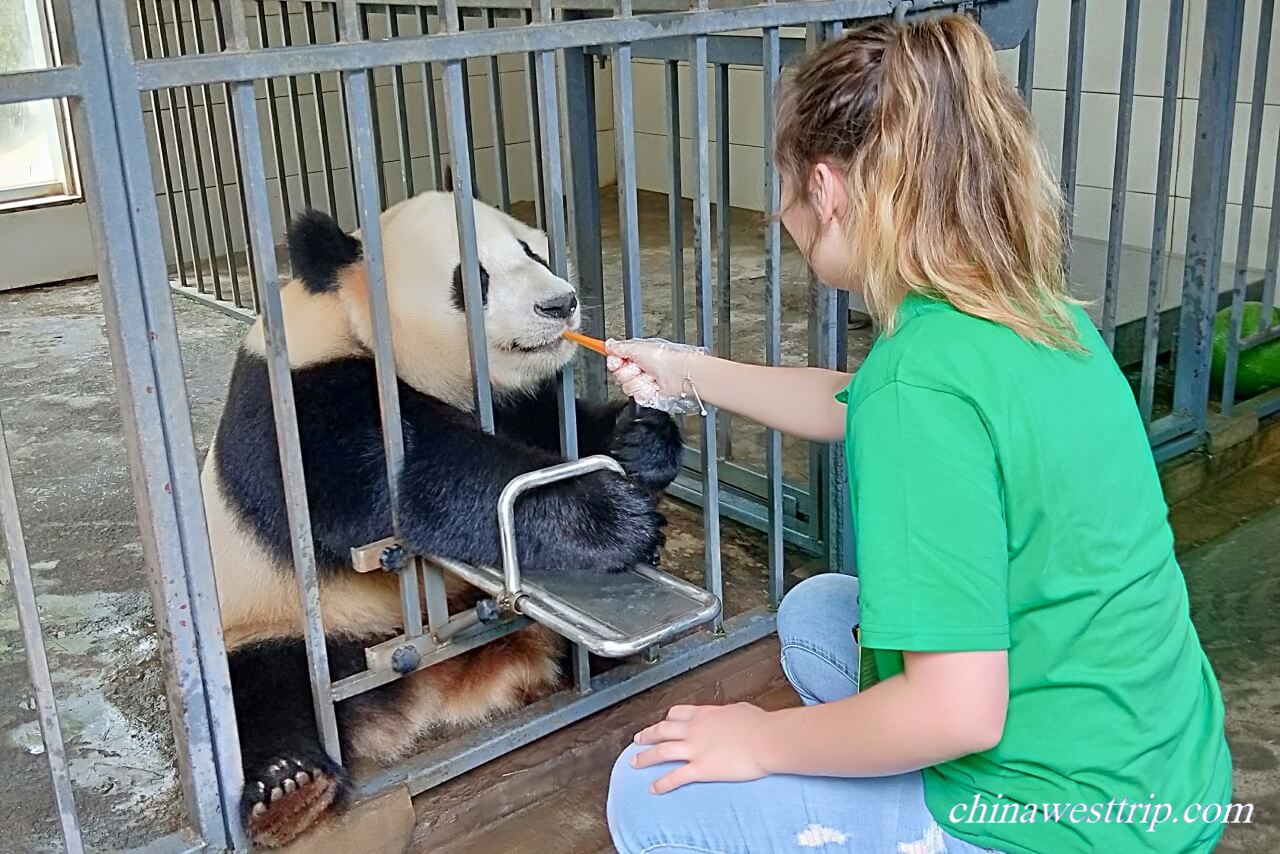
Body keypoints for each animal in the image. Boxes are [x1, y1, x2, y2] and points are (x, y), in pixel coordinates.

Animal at [202, 190, 680, 850]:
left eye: (532, 251)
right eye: (472, 278)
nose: (560, 303)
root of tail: (445, 690)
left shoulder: (513, 398)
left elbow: (553, 427)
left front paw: (642, 438)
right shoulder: (300, 406)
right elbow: (412, 483)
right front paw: (606, 514)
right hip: (276, 618)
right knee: (265, 688)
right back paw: (290, 789)